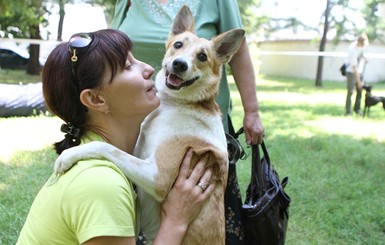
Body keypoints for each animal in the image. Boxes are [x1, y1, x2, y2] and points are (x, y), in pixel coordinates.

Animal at [54, 5, 244, 245]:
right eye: (178, 45)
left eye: (202, 56)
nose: (179, 64)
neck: (174, 105)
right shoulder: (138, 149)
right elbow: (115, 149)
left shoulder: (157, 178)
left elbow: (106, 147)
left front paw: (68, 155)